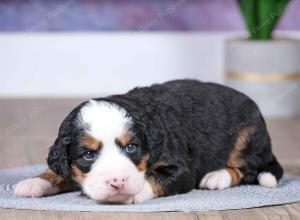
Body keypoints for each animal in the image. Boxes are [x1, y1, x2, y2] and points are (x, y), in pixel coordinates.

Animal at [14, 80, 282, 204]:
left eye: (131, 147)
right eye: (88, 154)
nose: (117, 182)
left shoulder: (181, 169)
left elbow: (153, 179)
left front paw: (129, 192)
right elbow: (57, 171)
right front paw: (35, 182)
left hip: (246, 137)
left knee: (248, 169)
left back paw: (217, 177)